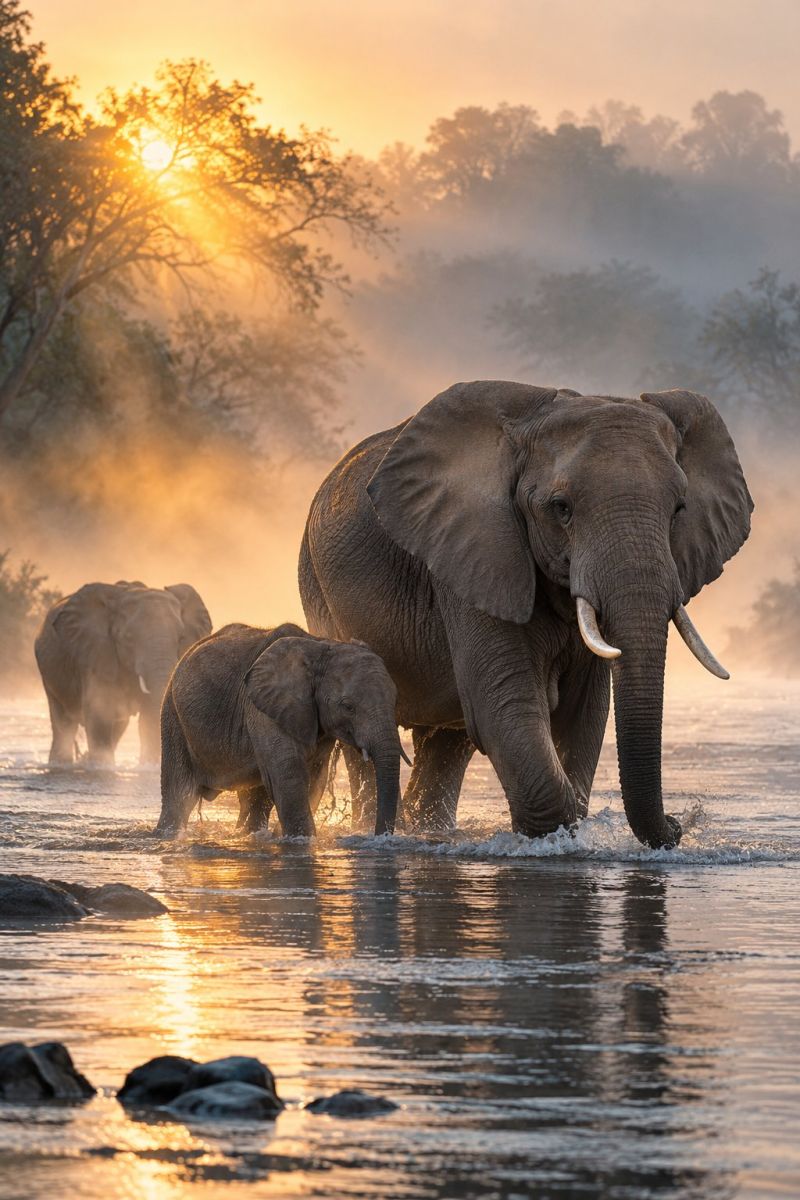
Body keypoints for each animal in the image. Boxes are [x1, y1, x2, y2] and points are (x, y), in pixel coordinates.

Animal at [35, 580, 212, 766]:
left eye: (181, 638)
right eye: (128, 637)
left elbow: (148, 715)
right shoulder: (95, 653)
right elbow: (100, 712)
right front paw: (102, 767)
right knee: (63, 723)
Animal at [154, 622, 410, 838]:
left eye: (396, 700)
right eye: (348, 706)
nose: (380, 836)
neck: (321, 645)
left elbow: (313, 778)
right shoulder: (264, 708)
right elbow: (289, 775)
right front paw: (300, 840)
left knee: (255, 799)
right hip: (172, 716)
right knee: (179, 795)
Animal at [299, 382, 753, 849]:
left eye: (679, 508)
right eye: (561, 507)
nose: (681, 823)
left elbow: (584, 713)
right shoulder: (477, 553)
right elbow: (506, 703)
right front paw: (550, 838)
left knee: (448, 739)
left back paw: (429, 832)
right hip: (316, 586)